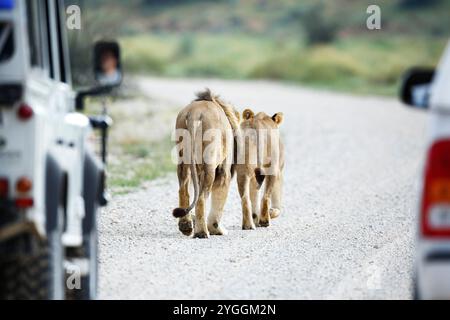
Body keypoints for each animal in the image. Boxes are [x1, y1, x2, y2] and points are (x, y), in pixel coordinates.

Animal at [173, 89, 243, 239]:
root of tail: (194, 113)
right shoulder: (224, 171)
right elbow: (219, 202)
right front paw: (216, 229)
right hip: (210, 165)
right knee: (201, 198)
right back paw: (202, 232)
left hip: (183, 161)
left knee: (183, 190)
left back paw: (186, 226)